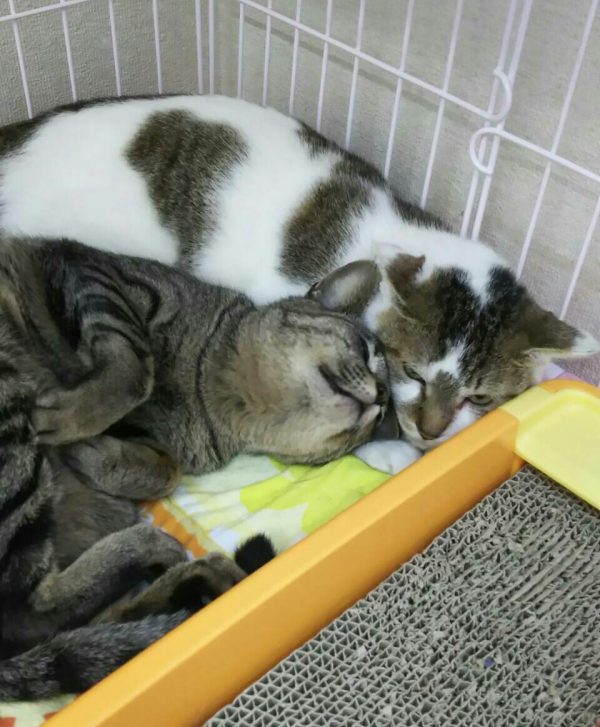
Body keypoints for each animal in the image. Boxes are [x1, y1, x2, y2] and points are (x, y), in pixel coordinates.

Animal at [0, 233, 388, 698]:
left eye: (383, 417)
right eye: (365, 350)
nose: (382, 397)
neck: (214, 400)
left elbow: (164, 470)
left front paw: (93, 449)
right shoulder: (98, 275)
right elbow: (133, 371)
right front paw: (77, 423)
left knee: (45, 616)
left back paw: (186, 572)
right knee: (37, 608)